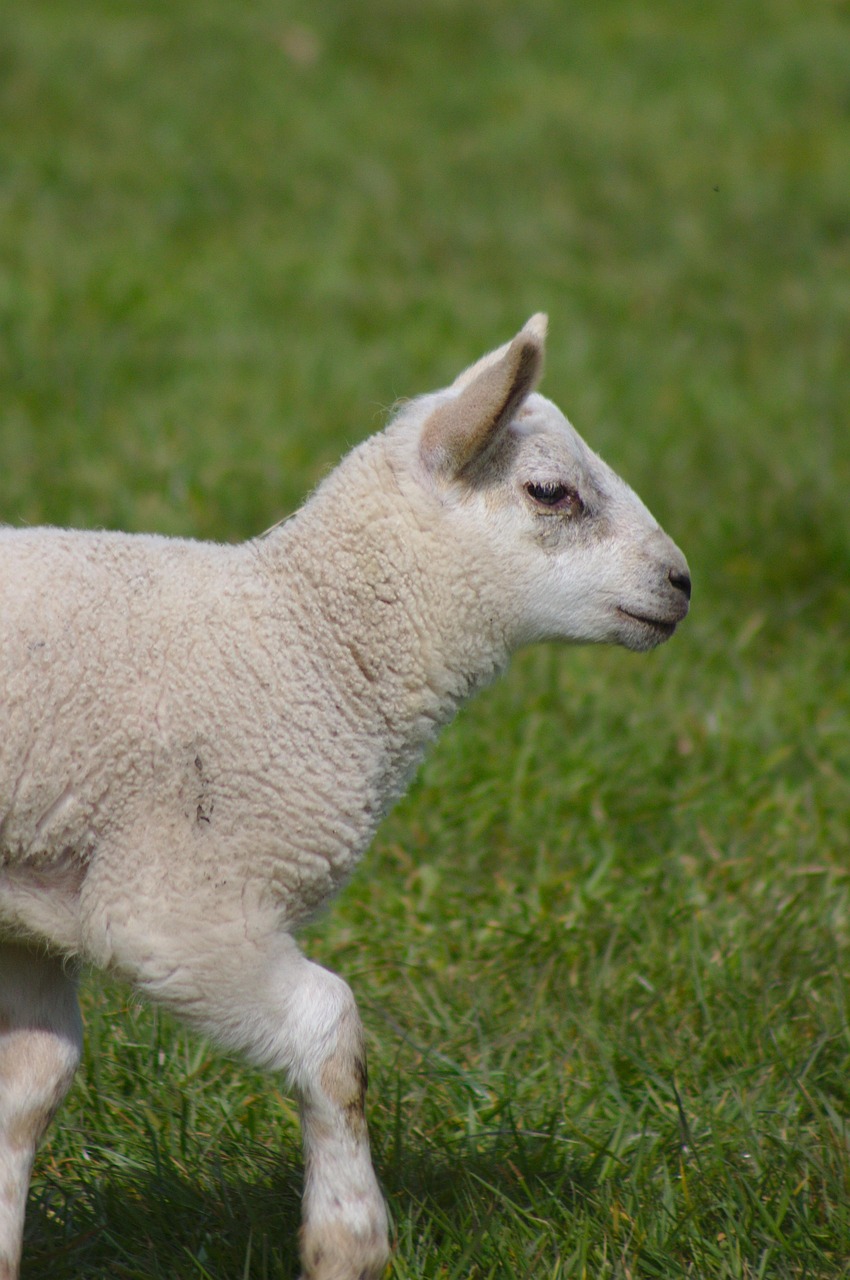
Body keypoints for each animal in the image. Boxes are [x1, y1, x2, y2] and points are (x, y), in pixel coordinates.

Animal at [0, 314, 690, 1280]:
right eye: (551, 492)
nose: (682, 583)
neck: (310, 642)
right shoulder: (172, 903)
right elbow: (334, 1039)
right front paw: (350, 1237)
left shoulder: (33, 912)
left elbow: (28, 1088)